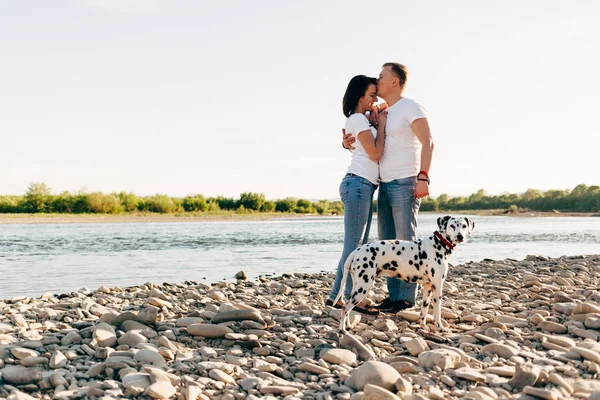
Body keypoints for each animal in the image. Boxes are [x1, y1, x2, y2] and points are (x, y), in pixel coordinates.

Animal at [332, 217, 474, 332]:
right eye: (452, 226)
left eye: (464, 226)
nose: (460, 236)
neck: (438, 245)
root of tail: (357, 250)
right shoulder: (437, 287)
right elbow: (437, 313)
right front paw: (440, 327)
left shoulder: (428, 287)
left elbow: (424, 311)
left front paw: (423, 327)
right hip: (363, 287)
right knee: (345, 308)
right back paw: (342, 330)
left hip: (357, 286)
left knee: (348, 308)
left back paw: (348, 326)